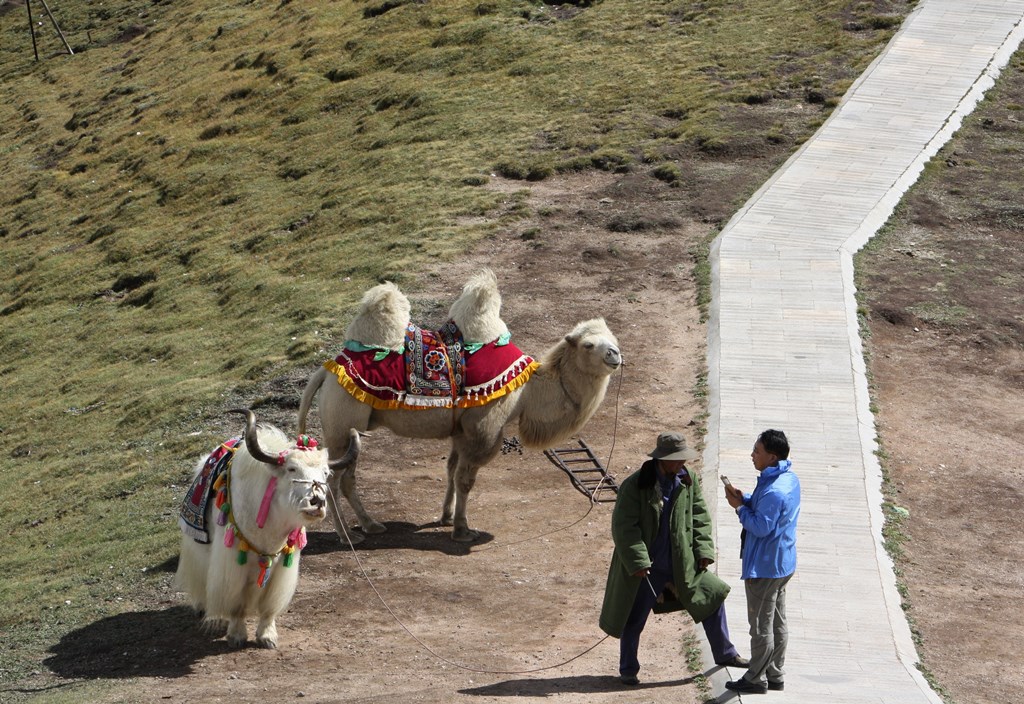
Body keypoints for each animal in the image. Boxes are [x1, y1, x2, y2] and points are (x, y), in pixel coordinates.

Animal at [179, 409, 360, 646]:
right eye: (291, 469)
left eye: (326, 473)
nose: (317, 502)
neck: (270, 528)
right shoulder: (232, 561)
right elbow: (235, 602)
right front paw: (237, 635)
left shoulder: (282, 564)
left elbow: (269, 605)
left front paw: (267, 636)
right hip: (201, 541)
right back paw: (207, 611)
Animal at [292, 270, 618, 544]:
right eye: (588, 345)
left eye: (613, 338)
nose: (615, 354)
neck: (526, 391)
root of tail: (326, 371)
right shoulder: (484, 429)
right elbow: (465, 479)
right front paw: (462, 529)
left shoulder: (462, 430)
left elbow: (450, 469)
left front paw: (446, 517)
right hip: (340, 424)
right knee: (332, 480)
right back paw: (348, 536)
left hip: (350, 431)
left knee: (348, 478)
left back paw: (371, 525)